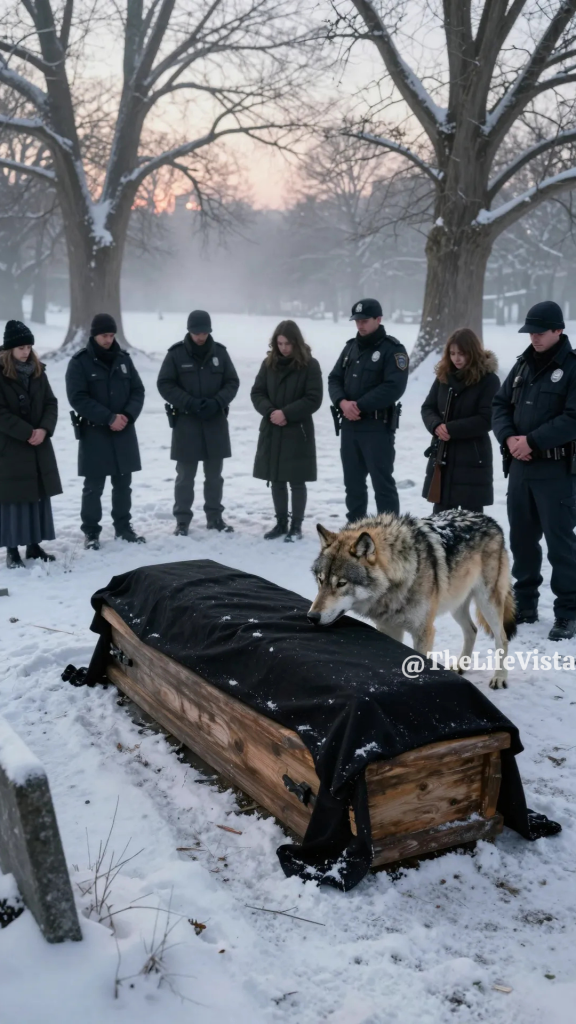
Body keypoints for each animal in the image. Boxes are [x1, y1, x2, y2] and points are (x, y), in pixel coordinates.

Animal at [307, 510, 517, 689]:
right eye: (320, 580)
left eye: (341, 583)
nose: (312, 617)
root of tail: (489, 520)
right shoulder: (388, 629)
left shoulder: (423, 631)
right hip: (456, 604)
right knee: (472, 630)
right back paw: (460, 666)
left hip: (487, 603)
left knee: (502, 638)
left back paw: (499, 678)